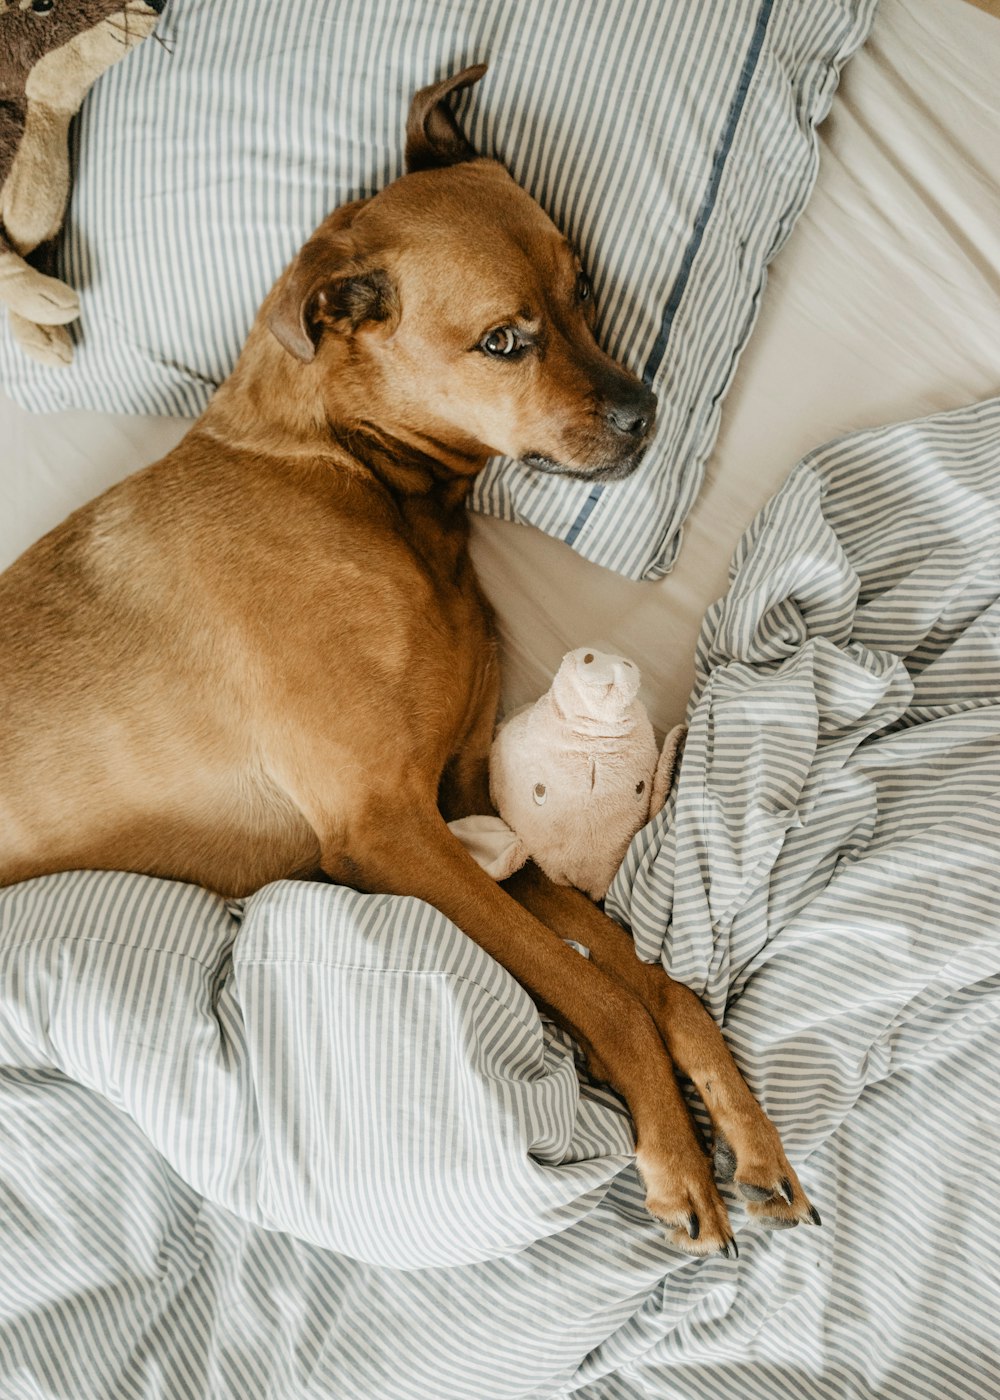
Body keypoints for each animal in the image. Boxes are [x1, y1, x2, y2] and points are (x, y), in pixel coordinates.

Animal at [0, 65, 812, 1254]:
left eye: (583, 289)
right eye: (505, 341)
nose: (646, 412)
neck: (354, 479)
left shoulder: (467, 802)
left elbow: (657, 984)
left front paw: (746, 1136)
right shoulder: (387, 826)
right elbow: (605, 997)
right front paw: (672, 1154)